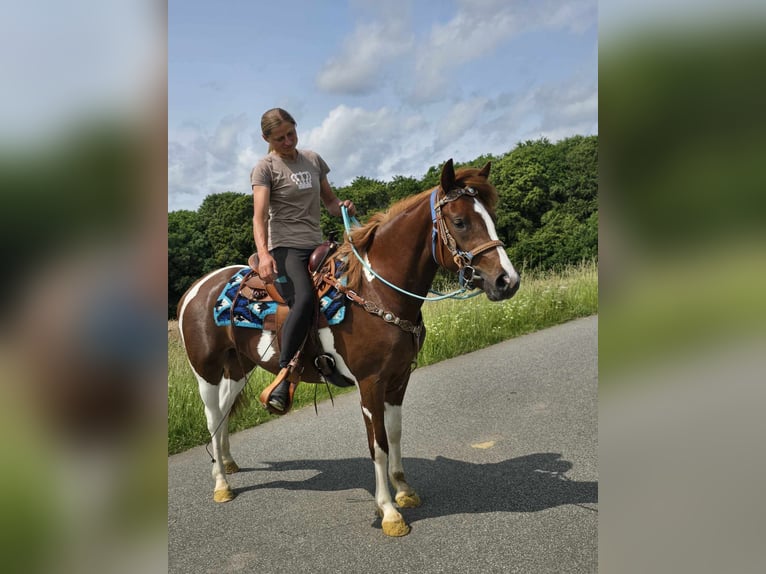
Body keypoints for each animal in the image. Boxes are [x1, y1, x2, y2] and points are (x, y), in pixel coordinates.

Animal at [176, 158, 520, 536]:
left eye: (491, 214)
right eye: (460, 221)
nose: (507, 281)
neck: (375, 291)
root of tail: (197, 288)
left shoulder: (399, 378)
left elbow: (395, 434)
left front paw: (404, 491)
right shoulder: (370, 383)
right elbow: (378, 444)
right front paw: (389, 512)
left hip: (239, 367)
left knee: (223, 414)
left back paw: (228, 463)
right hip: (206, 372)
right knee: (212, 416)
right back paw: (221, 484)